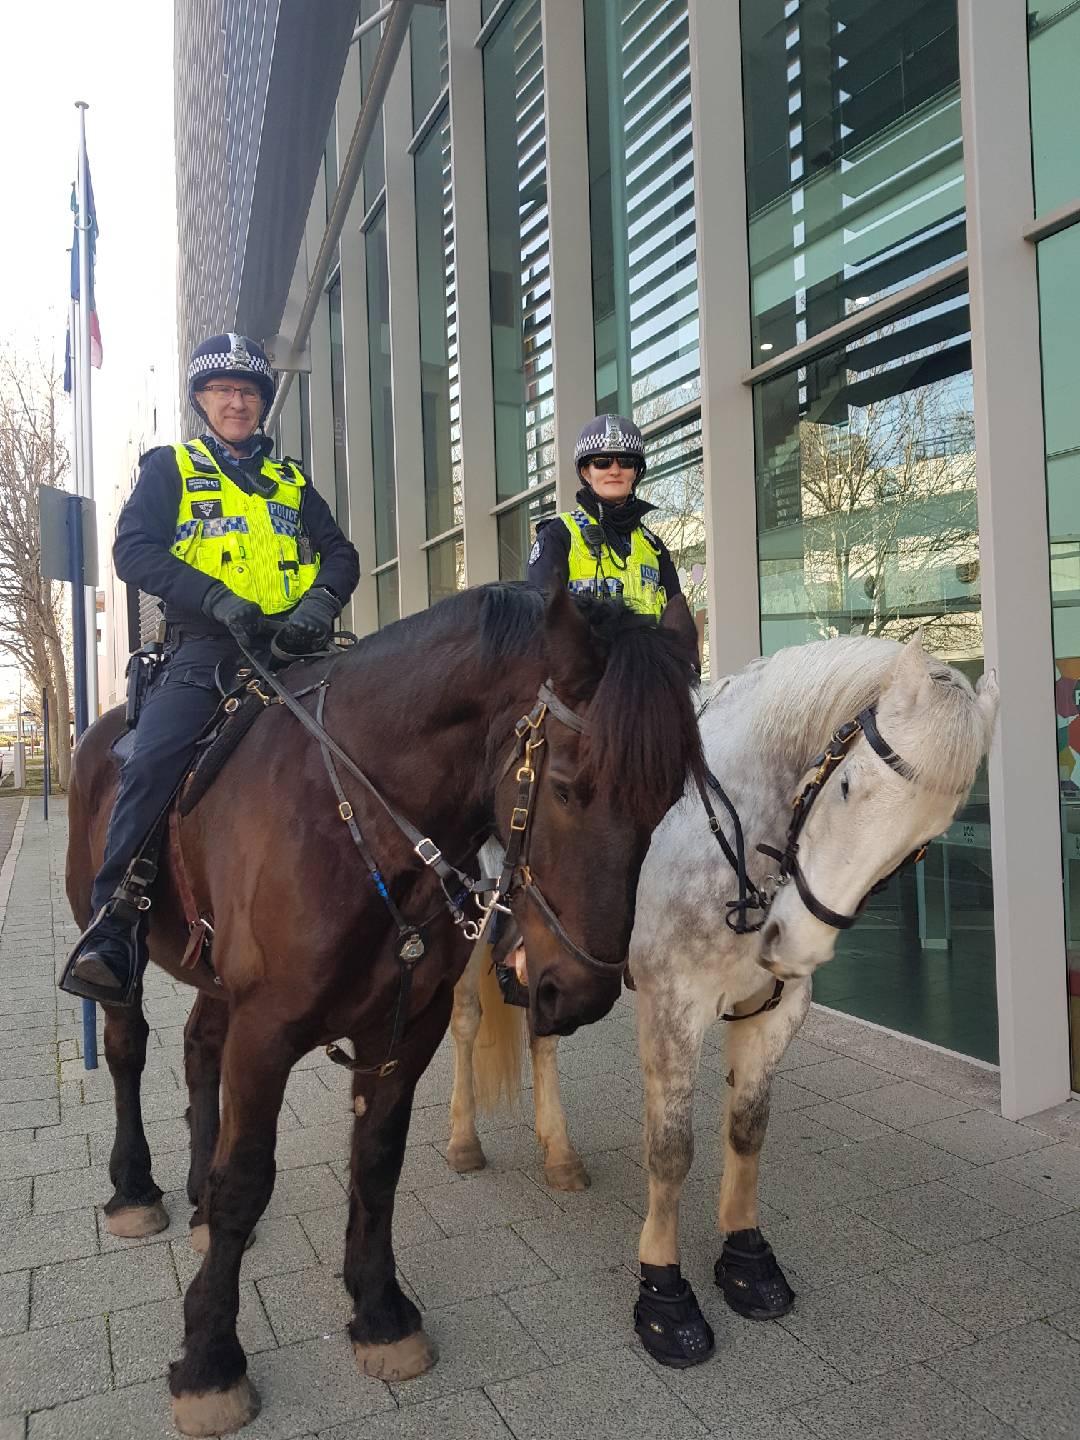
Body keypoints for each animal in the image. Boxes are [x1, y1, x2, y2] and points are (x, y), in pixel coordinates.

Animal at [65, 578, 702, 1434]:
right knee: (130, 1048)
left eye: (666, 799)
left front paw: (378, 1311)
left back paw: (192, 1198)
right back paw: (136, 1190)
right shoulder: (267, 1032)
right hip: (119, 956)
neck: (357, 822)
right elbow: (247, 1178)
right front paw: (209, 1358)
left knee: (198, 1047)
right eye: (569, 786)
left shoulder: (407, 1027)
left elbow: (376, 1163)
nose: (577, 988)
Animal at [449, 636, 996, 1365]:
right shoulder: (671, 1007)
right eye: (848, 787)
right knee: (466, 1019)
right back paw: (463, 1142)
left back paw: (560, 1156)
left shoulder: (776, 1010)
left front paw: (745, 1256)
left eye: (925, 840)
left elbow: (747, 1128)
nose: (796, 943)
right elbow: (672, 1149)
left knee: (542, 1029)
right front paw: (663, 1293)